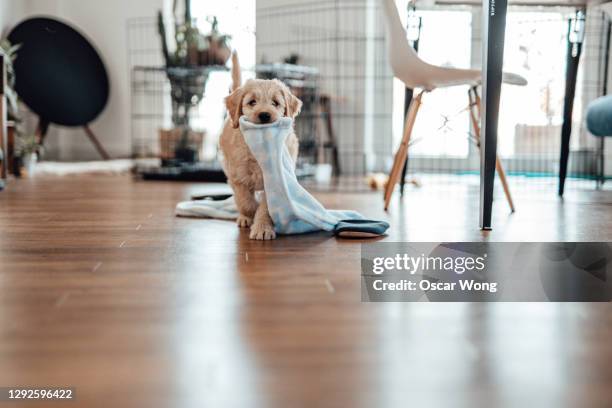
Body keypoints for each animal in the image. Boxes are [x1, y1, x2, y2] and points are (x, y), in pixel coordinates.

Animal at [222, 54, 304, 239]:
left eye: (275, 103)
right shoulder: (238, 176)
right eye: (252, 102)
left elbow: (265, 207)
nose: (265, 115)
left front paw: (262, 228)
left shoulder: (274, 180)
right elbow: (245, 201)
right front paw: (251, 215)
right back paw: (244, 218)